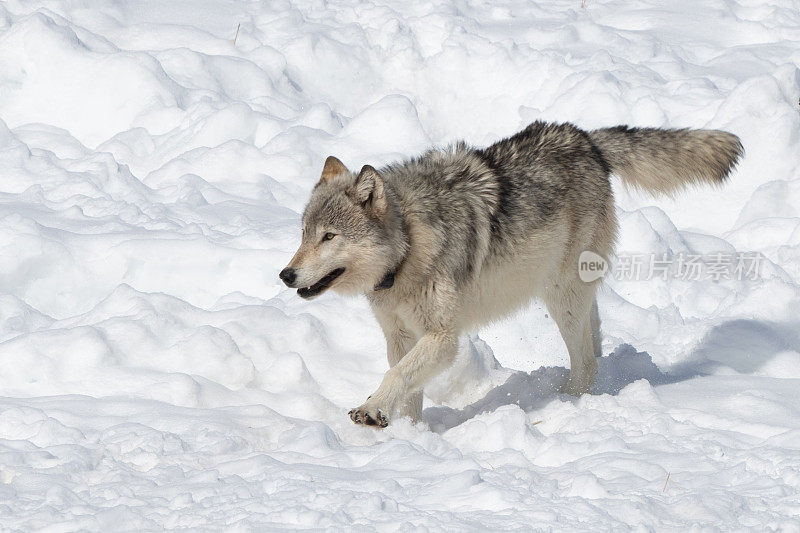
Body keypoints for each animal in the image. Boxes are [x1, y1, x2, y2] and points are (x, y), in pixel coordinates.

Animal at [278, 121, 740, 428]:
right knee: (594, 337)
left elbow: (397, 375)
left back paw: (570, 405)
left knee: (585, 361)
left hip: (559, 297)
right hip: (572, 294)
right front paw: (409, 433)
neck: (408, 247)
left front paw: (372, 410)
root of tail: (586, 139)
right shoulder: (400, 337)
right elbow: (408, 386)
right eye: (303, 235)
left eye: (329, 236)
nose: (285, 274)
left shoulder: (443, 339)